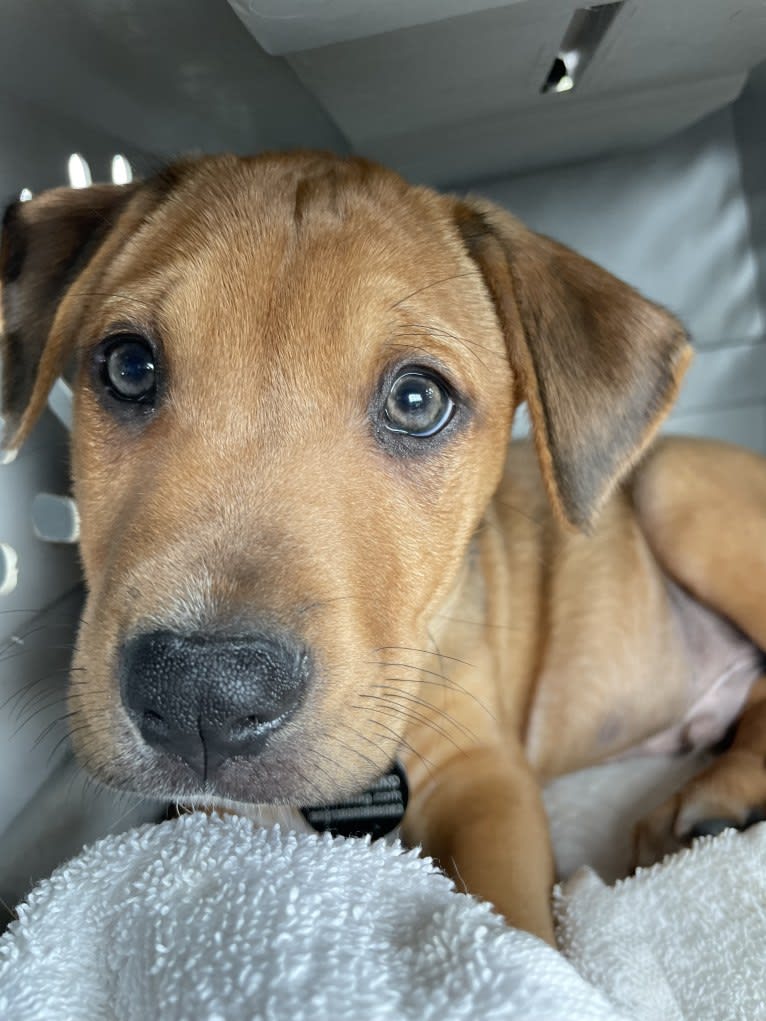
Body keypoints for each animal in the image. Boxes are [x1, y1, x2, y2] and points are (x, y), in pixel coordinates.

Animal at [1, 153, 766, 947]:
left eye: (416, 401)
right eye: (129, 367)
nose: (201, 694)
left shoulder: (485, 772)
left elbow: (513, 921)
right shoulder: (215, 816)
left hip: (673, 484)